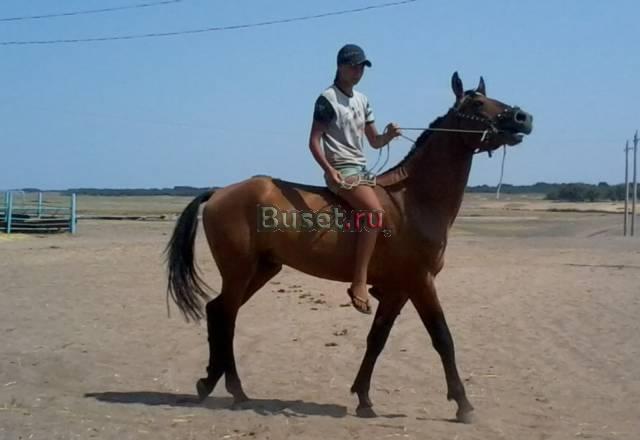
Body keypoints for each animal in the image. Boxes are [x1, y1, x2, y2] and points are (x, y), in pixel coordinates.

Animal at [165, 72, 533, 422]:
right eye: (476, 103)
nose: (523, 117)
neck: (412, 200)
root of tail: (219, 192)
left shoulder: (398, 289)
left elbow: (377, 339)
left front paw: (364, 398)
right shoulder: (420, 282)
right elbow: (442, 338)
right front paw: (463, 404)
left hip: (261, 270)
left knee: (219, 312)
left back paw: (213, 383)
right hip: (240, 271)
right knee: (226, 316)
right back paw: (234, 389)